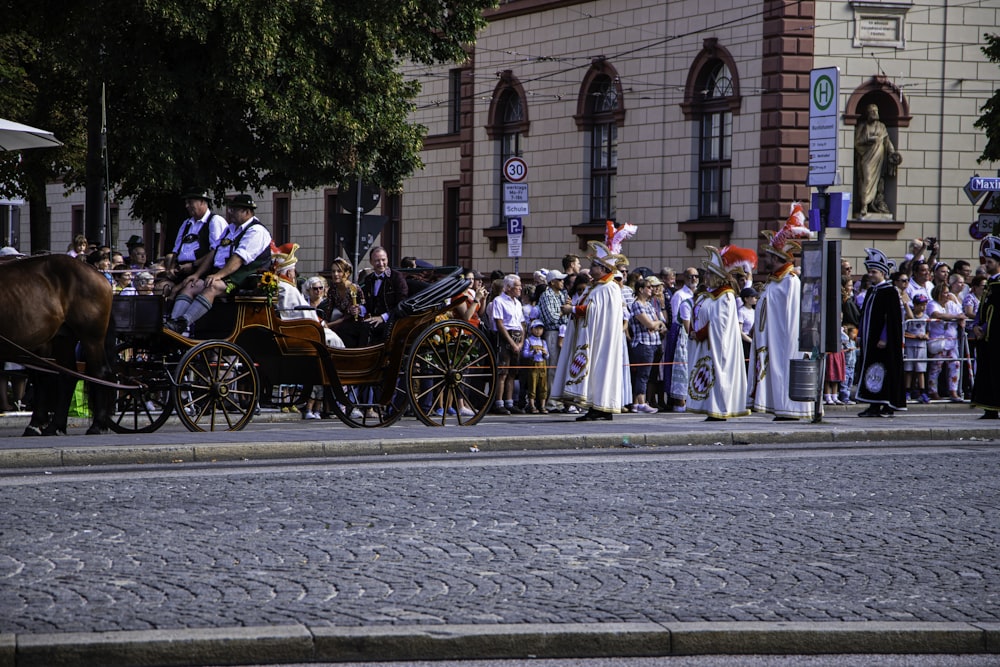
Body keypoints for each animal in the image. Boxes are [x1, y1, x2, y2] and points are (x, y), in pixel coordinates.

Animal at [0, 253, 114, 436]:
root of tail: (99, 274)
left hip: (92, 338)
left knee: (100, 373)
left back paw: (97, 425)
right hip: (63, 338)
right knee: (67, 376)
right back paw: (56, 425)